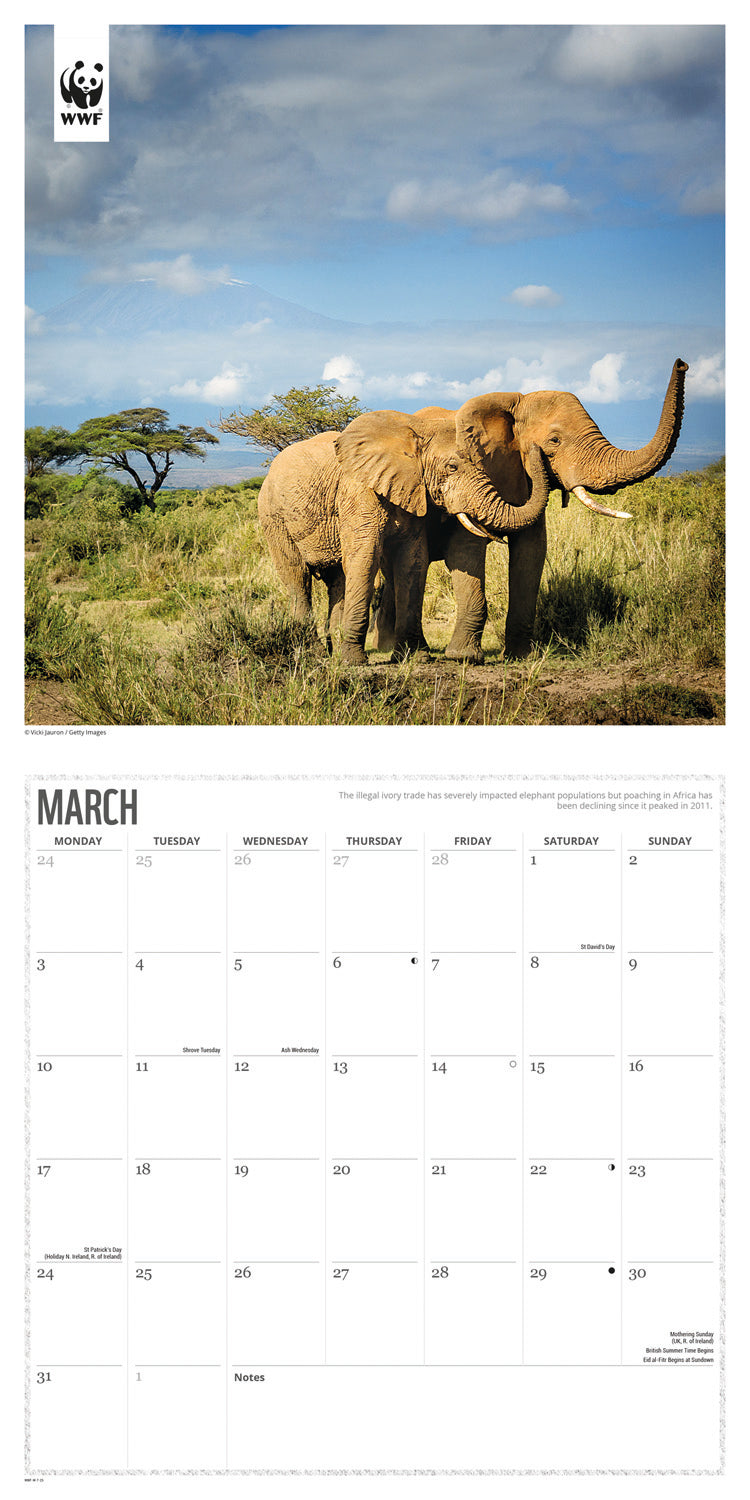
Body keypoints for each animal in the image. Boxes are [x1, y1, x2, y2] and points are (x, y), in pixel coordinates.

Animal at [258, 399, 551, 665]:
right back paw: (314, 655)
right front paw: (353, 662)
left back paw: (331, 652)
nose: (537, 447)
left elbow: (413, 561)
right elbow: (365, 558)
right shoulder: (358, 491)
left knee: (337, 580)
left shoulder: (412, 492)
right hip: (273, 517)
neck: (414, 434)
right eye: (452, 467)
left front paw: (416, 657)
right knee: (297, 577)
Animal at [371, 358, 689, 660]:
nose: (682, 363)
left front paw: (520, 656)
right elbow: (468, 547)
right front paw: (465, 658)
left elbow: (532, 550)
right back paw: (388, 648)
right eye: (554, 440)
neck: (513, 404)